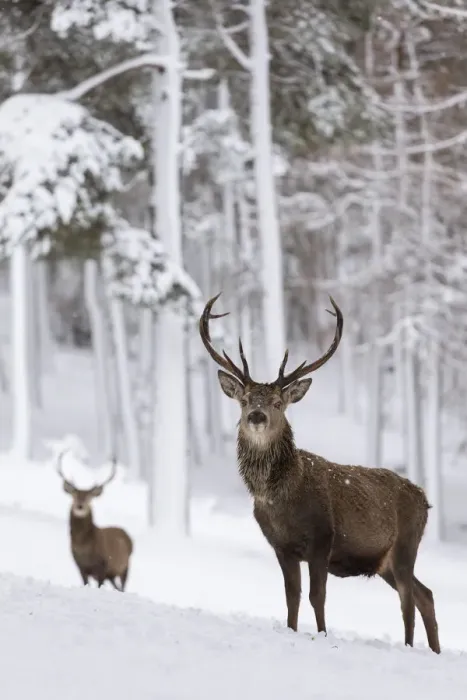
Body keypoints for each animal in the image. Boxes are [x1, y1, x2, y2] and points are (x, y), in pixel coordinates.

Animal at [56, 450, 133, 591]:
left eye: (89, 498)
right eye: (74, 496)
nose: (80, 506)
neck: (84, 547)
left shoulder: (103, 566)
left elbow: (99, 585)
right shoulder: (81, 567)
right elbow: (85, 583)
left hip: (125, 567)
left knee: (123, 586)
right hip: (112, 575)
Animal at [199, 293, 440, 654]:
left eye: (278, 403)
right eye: (244, 400)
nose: (256, 416)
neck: (280, 500)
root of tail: (425, 500)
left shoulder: (322, 539)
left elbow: (317, 597)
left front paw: (324, 635)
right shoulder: (281, 547)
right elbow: (292, 597)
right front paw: (292, 629)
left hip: (405, 545)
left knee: (408, 602)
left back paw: (411, 647)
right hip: (385, 562)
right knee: (425, 594)